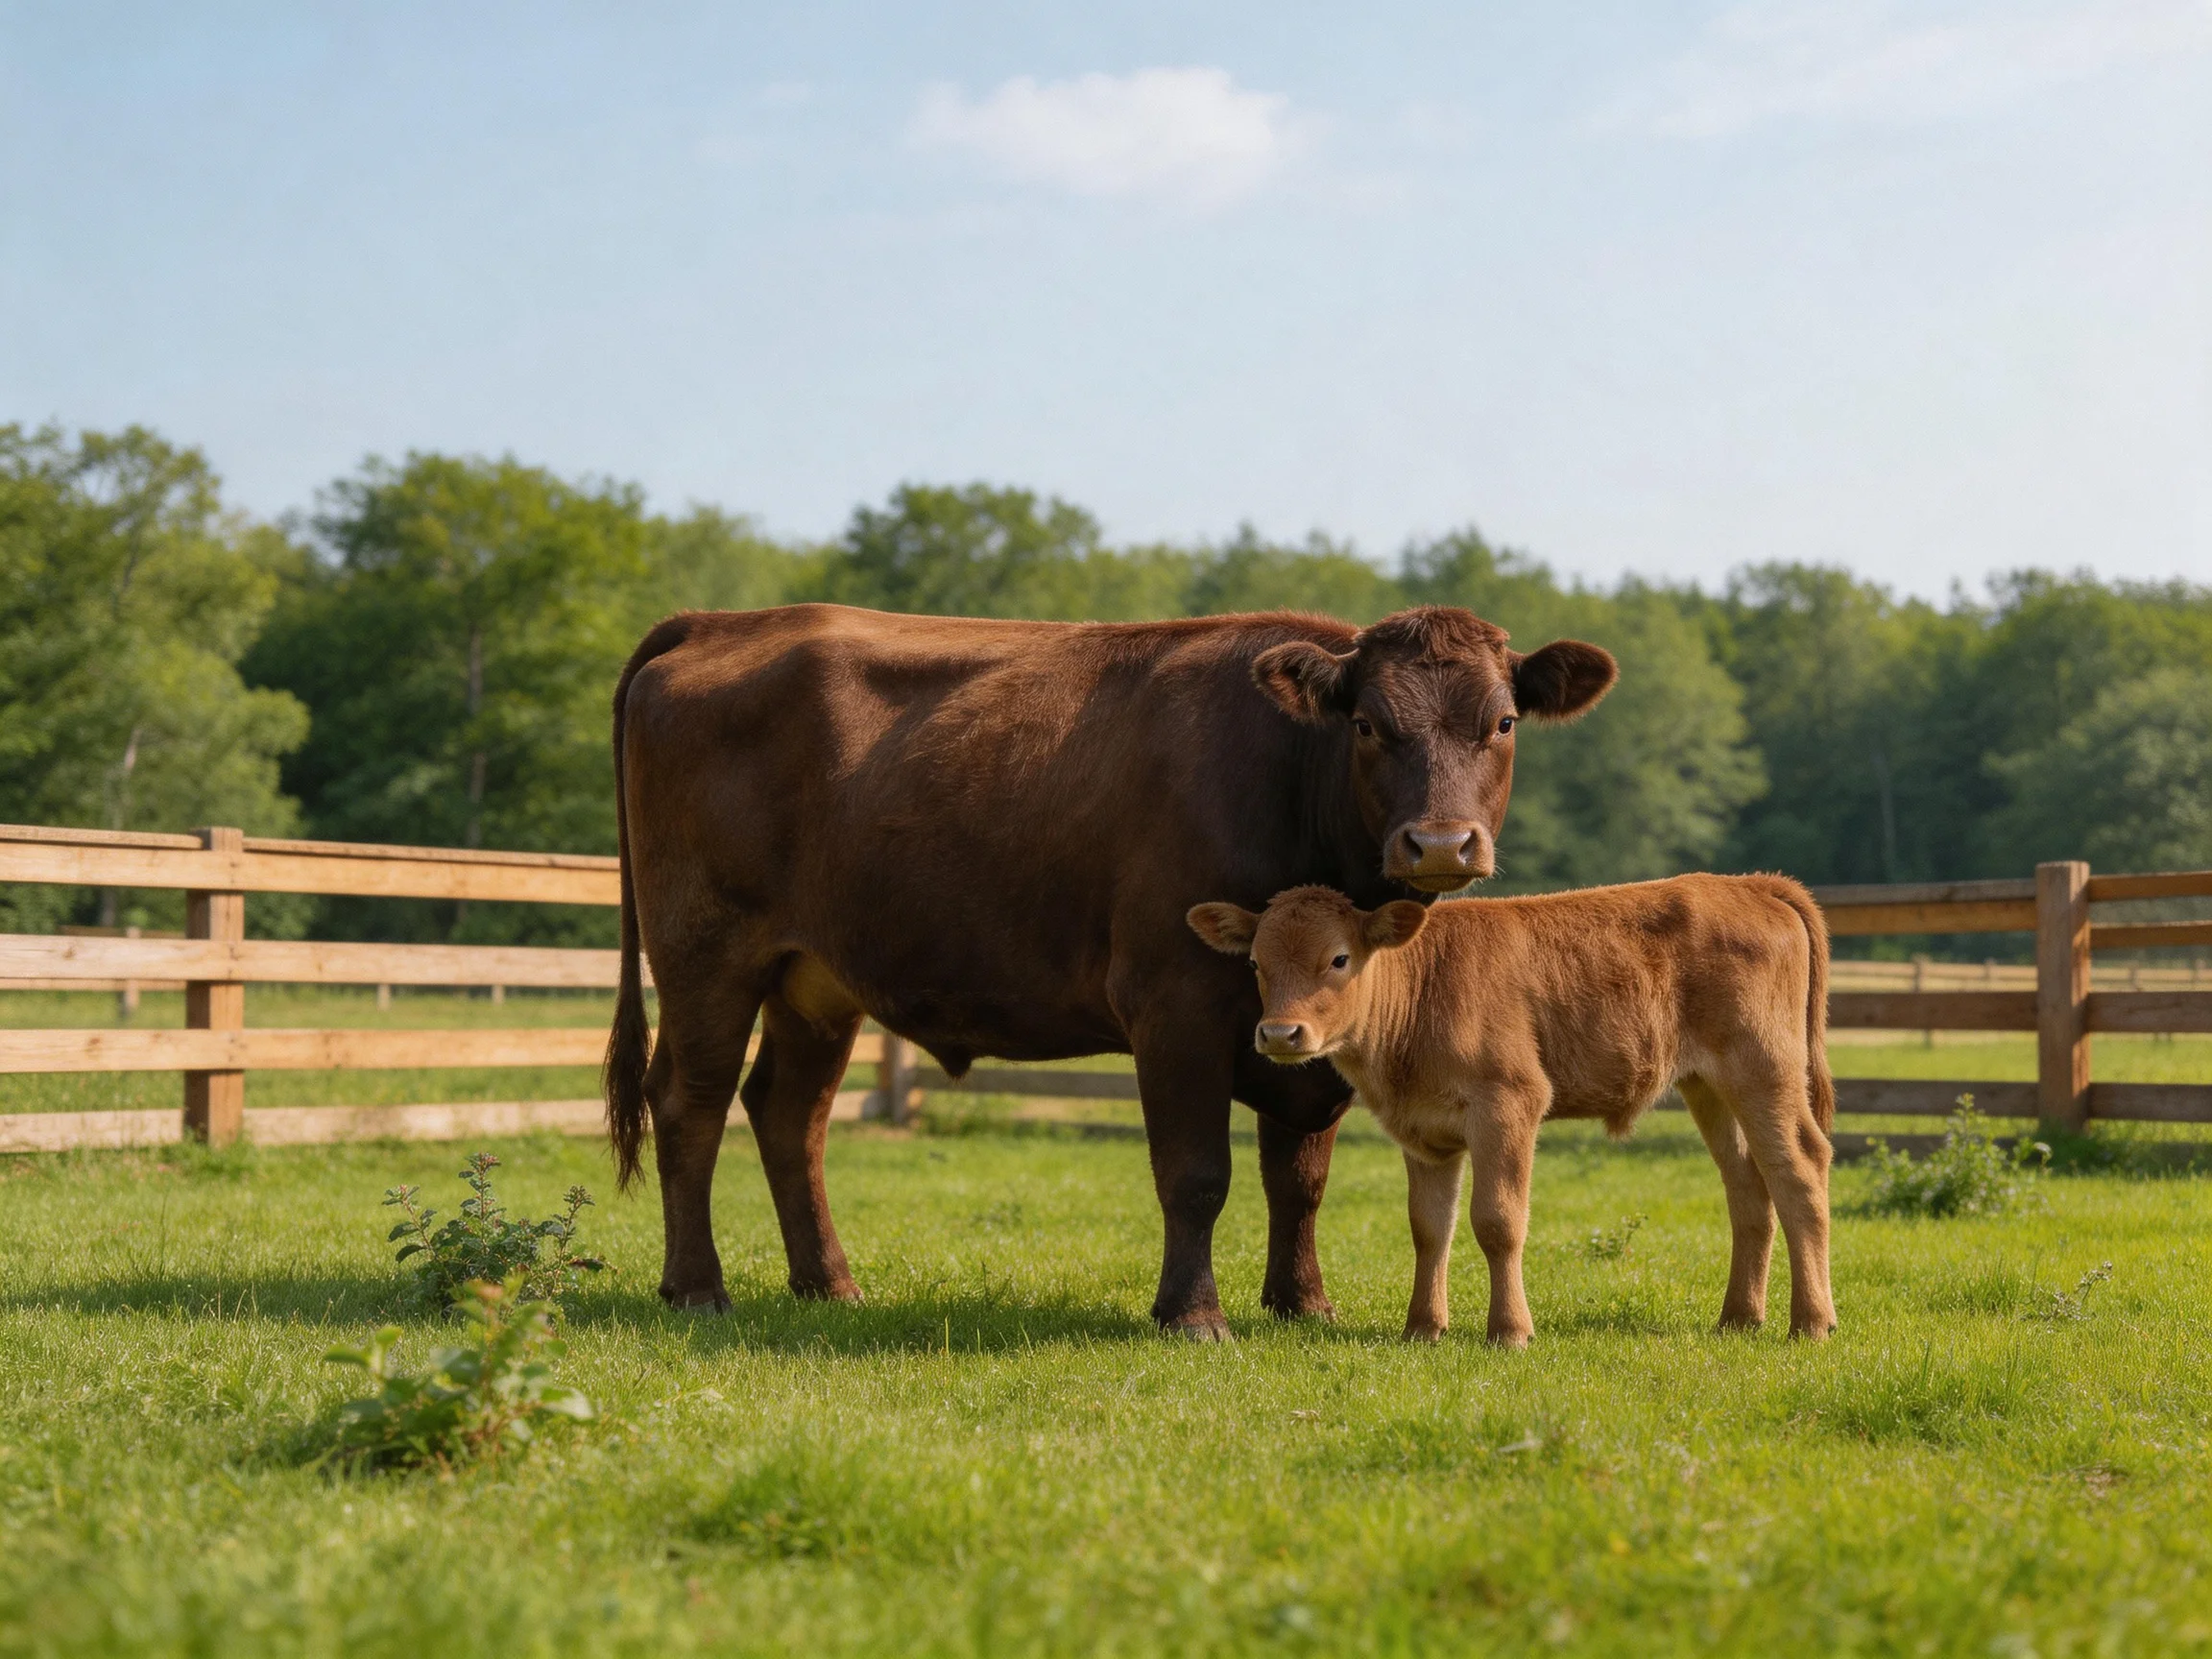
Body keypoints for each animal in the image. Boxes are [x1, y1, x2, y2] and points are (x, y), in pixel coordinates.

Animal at [604, 602, 1617, 1337]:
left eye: (1503, 722)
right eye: (1368, 724)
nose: (1441, 842)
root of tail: (724, 621)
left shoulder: (1311, 1036)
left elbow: (1300, 1176)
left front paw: (1304, 1305)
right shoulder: (1176, 1005)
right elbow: (1196, 1172)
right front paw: (1194, 1316)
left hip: (814, 976)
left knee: (789, 1111)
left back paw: (830, 1285)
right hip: (705, 954)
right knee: (690, 1102)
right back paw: (698, 1289)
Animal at [1187, 875, 1836, 1343]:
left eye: (1339, 959)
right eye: (1255, 963)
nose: (1279, 1033)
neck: (1422, 991)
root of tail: (1747, 883)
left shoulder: (1509, 1104)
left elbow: (1497, 1222)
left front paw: (1509, 1330)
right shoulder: (1423, 1130)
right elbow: (1429, 1227)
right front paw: (1423, 1328)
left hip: (1764, 1071)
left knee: (1800, 1173)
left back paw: (1810, 1321)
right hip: (1710, 1086)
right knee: (1749, 1186)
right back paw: (1739, 1318)